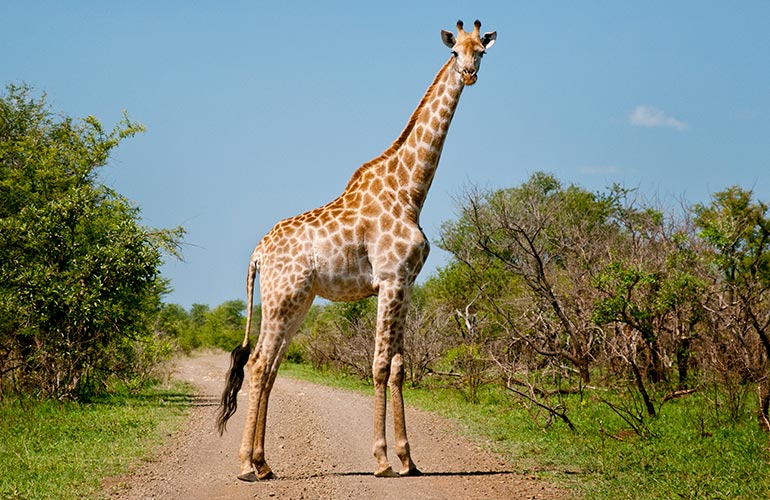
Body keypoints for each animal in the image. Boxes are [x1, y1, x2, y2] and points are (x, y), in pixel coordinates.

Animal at [217, 19, 496, 481]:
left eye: (483, 51)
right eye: (455, 51)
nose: (470, 73)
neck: (410, 192)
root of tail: (257, 252)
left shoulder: (405, 284)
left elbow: (399, 366)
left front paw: (409, 460)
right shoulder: (390, 279)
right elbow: (380, 364)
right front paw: (383, 460)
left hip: (298, 302)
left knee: (271, 367)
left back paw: (263, 463)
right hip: (280, 299)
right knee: (257, 364)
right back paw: (244, 465)